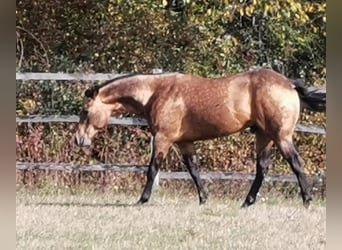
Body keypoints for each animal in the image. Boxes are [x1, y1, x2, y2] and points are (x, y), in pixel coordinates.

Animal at [74, 68, 326, 207]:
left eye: (85, 111)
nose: (78, 140)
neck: (156, 92)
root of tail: (289, 84)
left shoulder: (163, 138)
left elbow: (152, 169)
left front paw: (143, 199)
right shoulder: (185, 143)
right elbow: (194, 170)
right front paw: (204, 198)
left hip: (281, 136)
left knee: (295, 163)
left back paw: (307, 200)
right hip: (264, 136)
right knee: (262, 168)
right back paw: (247, 202)